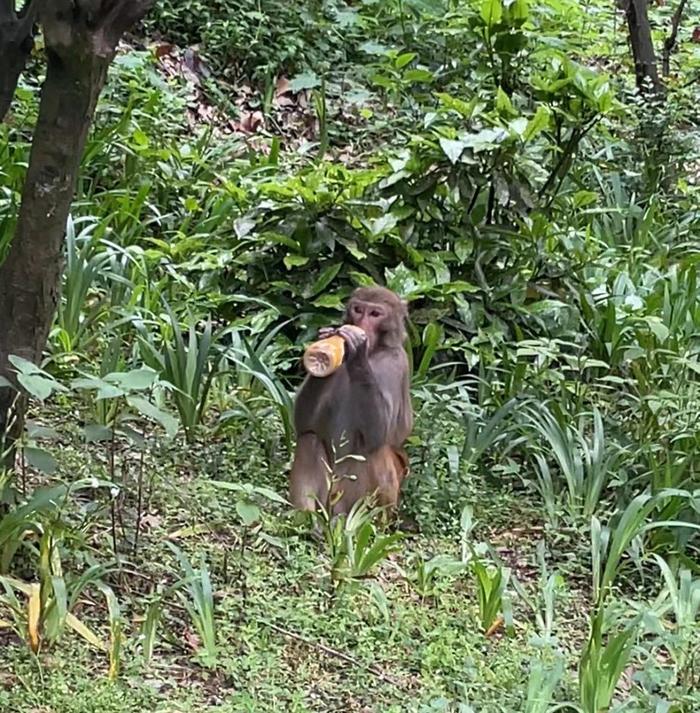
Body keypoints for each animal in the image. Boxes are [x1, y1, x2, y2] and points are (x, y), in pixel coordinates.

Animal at [288, 286, 412, 516]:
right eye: (358, 310)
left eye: (375, 314)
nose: (361, 324)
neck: (374, 352)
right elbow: (304, 424)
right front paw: (327, 338)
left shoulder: (395, 364)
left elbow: (382, 432)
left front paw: (357, 350)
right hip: (327, 496)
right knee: (309, 439)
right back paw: (306, 518)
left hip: (352, 498)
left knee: (375, 449)